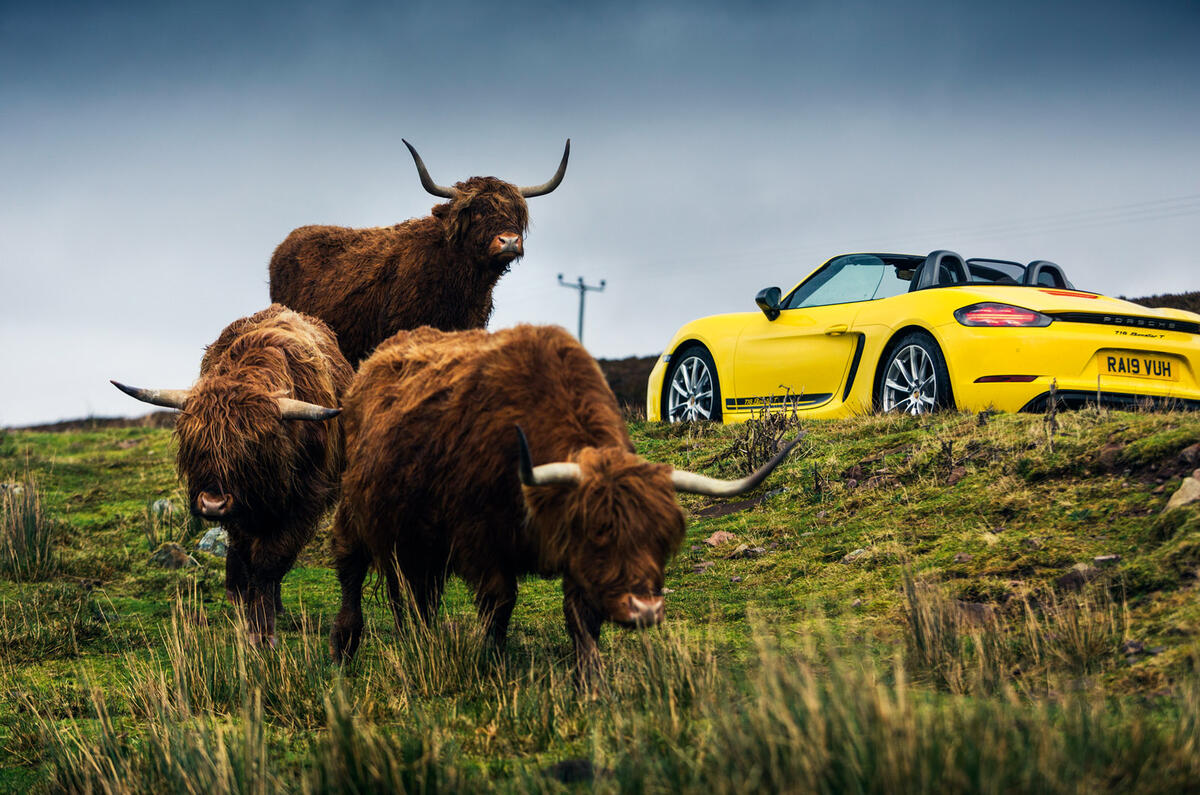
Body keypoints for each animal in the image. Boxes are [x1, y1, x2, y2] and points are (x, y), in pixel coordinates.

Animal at [112, 305, 350, 648]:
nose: (212, 504)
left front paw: (262, 630)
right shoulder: (239, 510)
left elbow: (270, 561)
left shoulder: (301, 503)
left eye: (249, 447)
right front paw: (247, 610)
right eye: (195, 444)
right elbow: (247, 555)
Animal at [328, 326, 796, 677]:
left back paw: (420, 643)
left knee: (409, 593)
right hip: (358, 513)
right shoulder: (481, 539)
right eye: (602, 531)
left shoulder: (577, 560)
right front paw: (492, 663)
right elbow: (500, 602)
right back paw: (344, 649)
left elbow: (580, 616)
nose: (644, 610)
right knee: (354, 569)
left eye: (664, 540)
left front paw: (591, 680)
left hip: (410, 537)